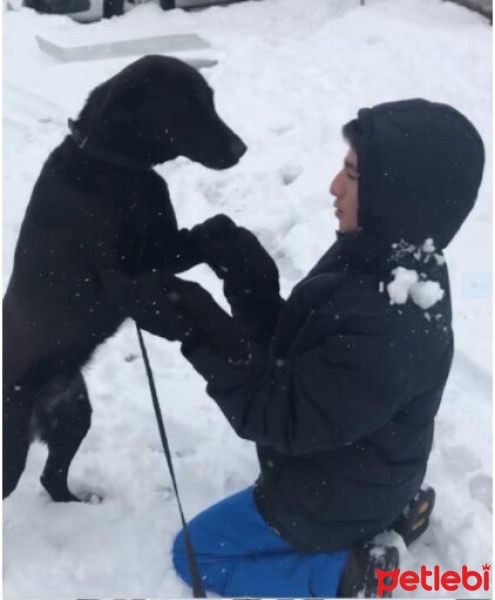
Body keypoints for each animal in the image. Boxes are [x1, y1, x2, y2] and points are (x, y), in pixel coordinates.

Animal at [2, 56, 248, 504]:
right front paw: (233, 340)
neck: (115, 166)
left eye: (210, 99)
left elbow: (211, 229)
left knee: (52, 477)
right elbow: (185, 296)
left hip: (75, 415)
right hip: (11, 443)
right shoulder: (122, 283)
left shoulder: (162, 251)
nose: (241, 149)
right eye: (187, 104)